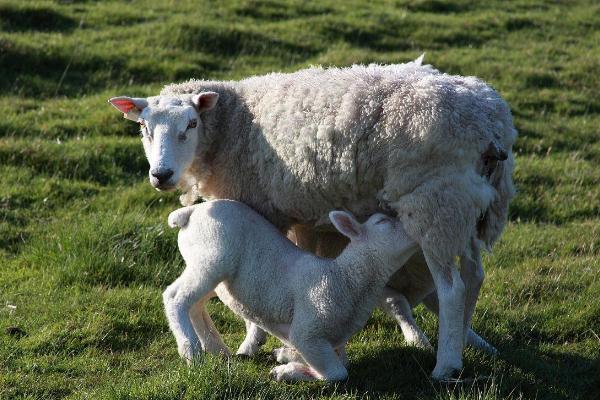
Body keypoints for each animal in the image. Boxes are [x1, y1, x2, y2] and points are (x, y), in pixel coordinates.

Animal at [162, 200, 420, 382]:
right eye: (382, 222)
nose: (413, 221)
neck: (343, 278)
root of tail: (190, 212)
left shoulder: (333, 339)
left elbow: (341, 362)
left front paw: (285, 356)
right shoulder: (308, 331)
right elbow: (337, 373)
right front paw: (288, 371)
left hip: (217, 277)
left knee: (195, 304)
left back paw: (217, 348)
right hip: (212, 258)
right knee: (175, 297)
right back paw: (190, 350)